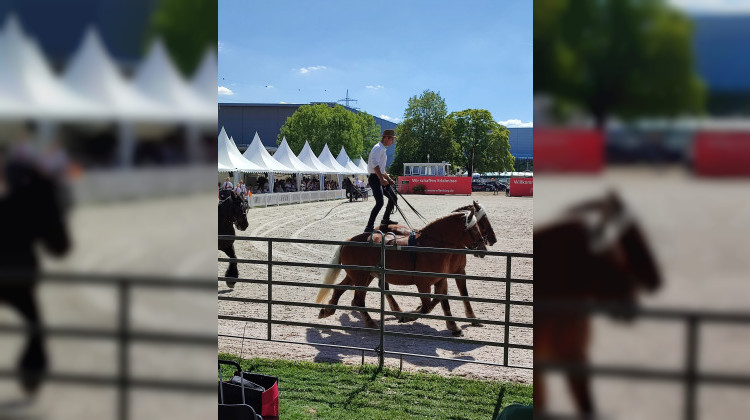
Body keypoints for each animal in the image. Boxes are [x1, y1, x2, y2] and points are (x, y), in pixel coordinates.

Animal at [0, 160, 71, 396]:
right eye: (51, 205)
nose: (64, 246)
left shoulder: (24, 294)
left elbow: (37, 322)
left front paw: (31, 374)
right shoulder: (17, 295)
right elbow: (36, 323)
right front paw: (31, 374)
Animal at [315, 209, 486, 336]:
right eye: (474, 229)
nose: (483, 248)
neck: (431, 245)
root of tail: (348, 241)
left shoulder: (441, 280)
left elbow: (443, 301)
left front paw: (453, 326)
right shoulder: (423, 284)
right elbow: (427, 307)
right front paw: (407, 317)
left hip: (359, 276)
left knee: (339, 290)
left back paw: (327, 310)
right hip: (361, 278)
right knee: (358, 300)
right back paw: (371, 322)